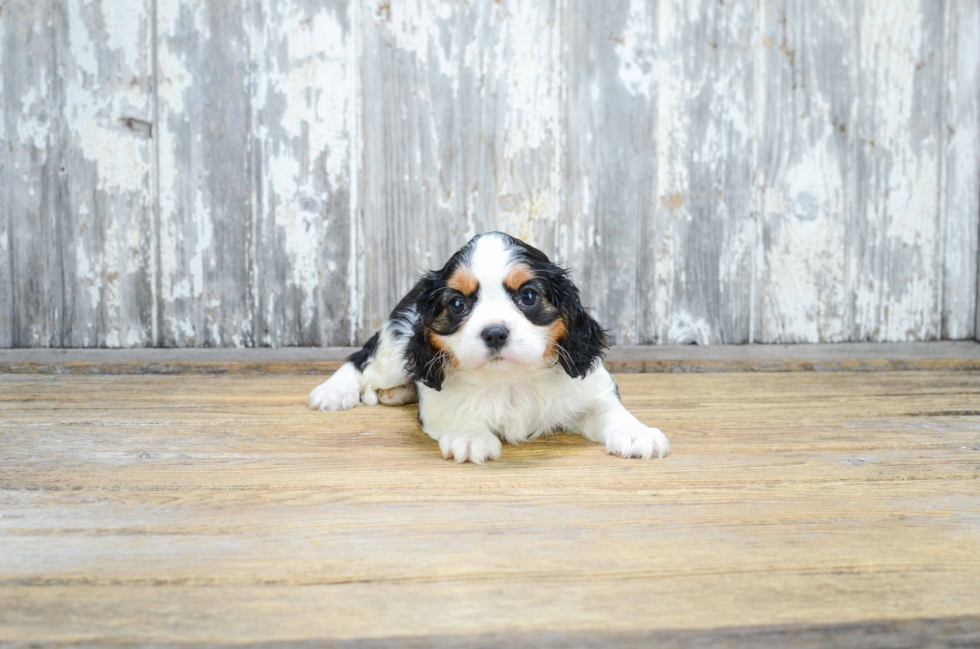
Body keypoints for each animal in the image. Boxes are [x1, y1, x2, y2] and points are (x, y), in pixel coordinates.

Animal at [310, 230, 668, 464]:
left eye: (528, 296)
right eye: (457, 304)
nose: (495, 333)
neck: (510, 380)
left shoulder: (591, 388)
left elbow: (609, 409)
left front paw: (635, 433)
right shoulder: (439, 400)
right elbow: (453, 411)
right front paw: (470, 435)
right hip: (395, 350)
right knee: (361, 360)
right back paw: (334, 391)